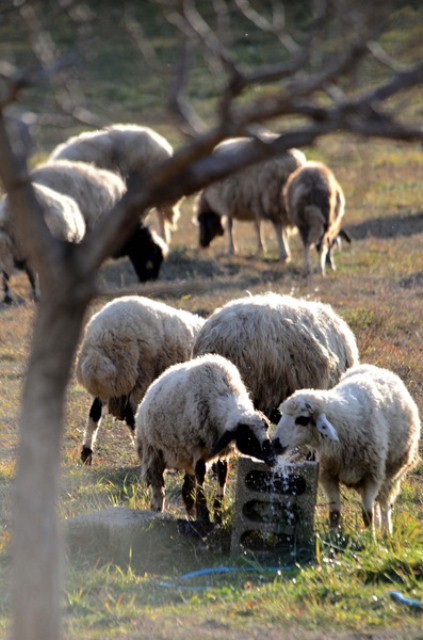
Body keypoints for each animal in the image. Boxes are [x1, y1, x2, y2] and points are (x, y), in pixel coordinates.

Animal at [78, 296, 209, 464]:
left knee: (94, 413)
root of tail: (101, 337)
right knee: (131, 415)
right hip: (138, 373)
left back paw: (86, 453)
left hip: (115, 382)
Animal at [134, 352, 276, 528]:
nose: (271, 458)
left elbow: (222, 475)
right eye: (248, 437)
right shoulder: (197, 447)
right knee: (157, 485)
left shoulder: (221, 451)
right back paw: (157, 510)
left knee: (187, 491)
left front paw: (218, 515)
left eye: (266, 430)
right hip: (153, 451)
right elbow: (201, 477)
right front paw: (205, 517)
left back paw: (190, 515)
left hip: (185, 458)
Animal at [274, 362, 422, 532]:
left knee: (384, 503)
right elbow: (334, 513)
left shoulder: (372, 475)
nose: (274, 443)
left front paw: (369, 537)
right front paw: (333, 536)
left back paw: (386, 531)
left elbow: (367, 514)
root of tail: (380, 369)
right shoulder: (327, 474)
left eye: (302, 419)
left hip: (392, 473)